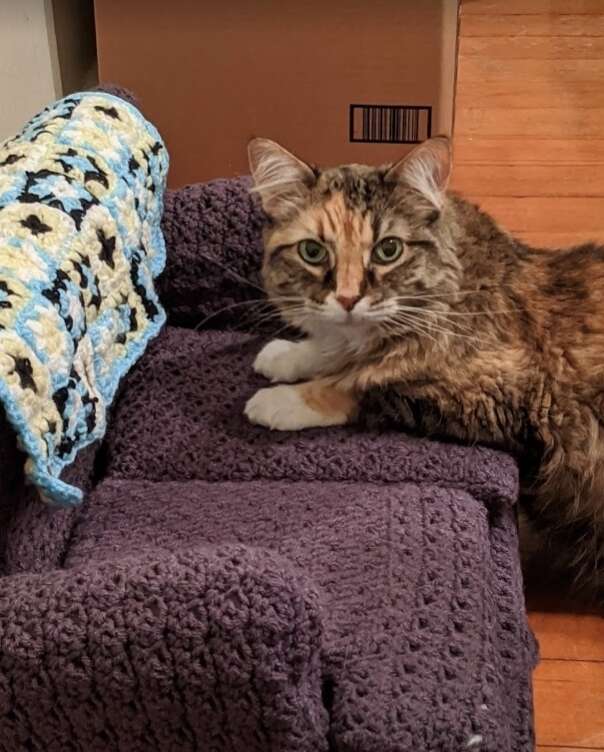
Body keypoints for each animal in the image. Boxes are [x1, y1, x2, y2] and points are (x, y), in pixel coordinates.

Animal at [243, 134, 604, 592]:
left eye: (388, 250)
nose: (347, 298)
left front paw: (278, 400)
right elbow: (331, 350)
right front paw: (287, 353)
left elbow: (355, 383)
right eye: (312, 251)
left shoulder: (499, 392)